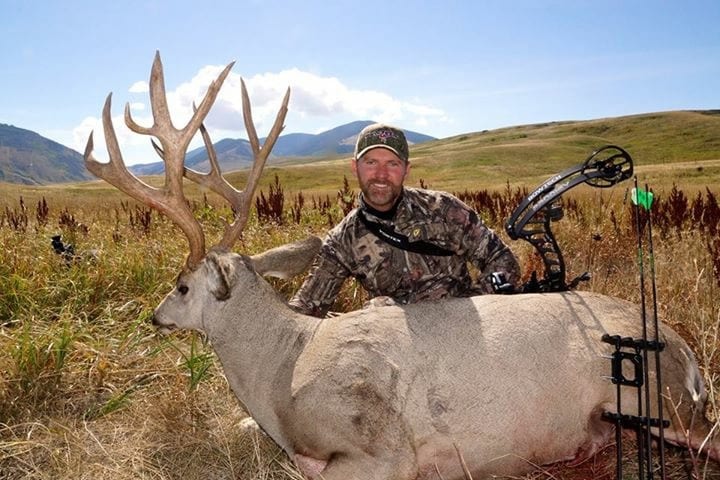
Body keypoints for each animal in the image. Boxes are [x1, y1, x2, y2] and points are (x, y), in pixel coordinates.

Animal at [85, 52, 719, 480]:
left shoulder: (385, 449)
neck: (280, 370)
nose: (154, 317)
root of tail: (686, 353)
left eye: (180, 285)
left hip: (665, 405)